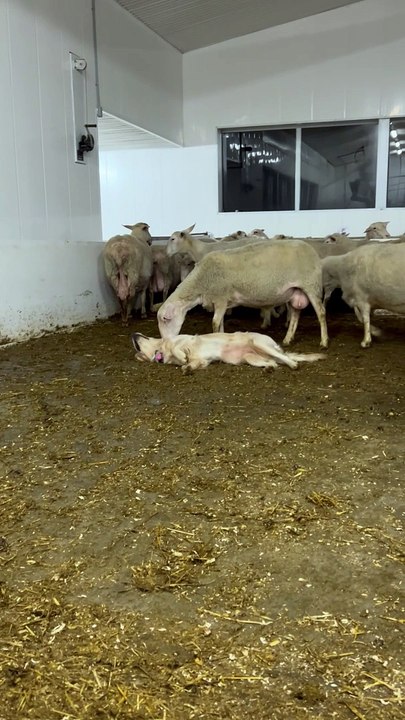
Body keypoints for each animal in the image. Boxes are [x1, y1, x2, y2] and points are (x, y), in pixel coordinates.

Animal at [157, 240, 328, 348]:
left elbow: (214, 323)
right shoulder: (222, 302)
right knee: (295, 314)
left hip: (311, 286)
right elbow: (220, 323)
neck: (202, 281)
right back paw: (287, 339)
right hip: (295, 292)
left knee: (321, 313)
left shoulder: (220, 298)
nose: (165, 343)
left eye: (166, 319)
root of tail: (311, 250)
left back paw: (324, 342)